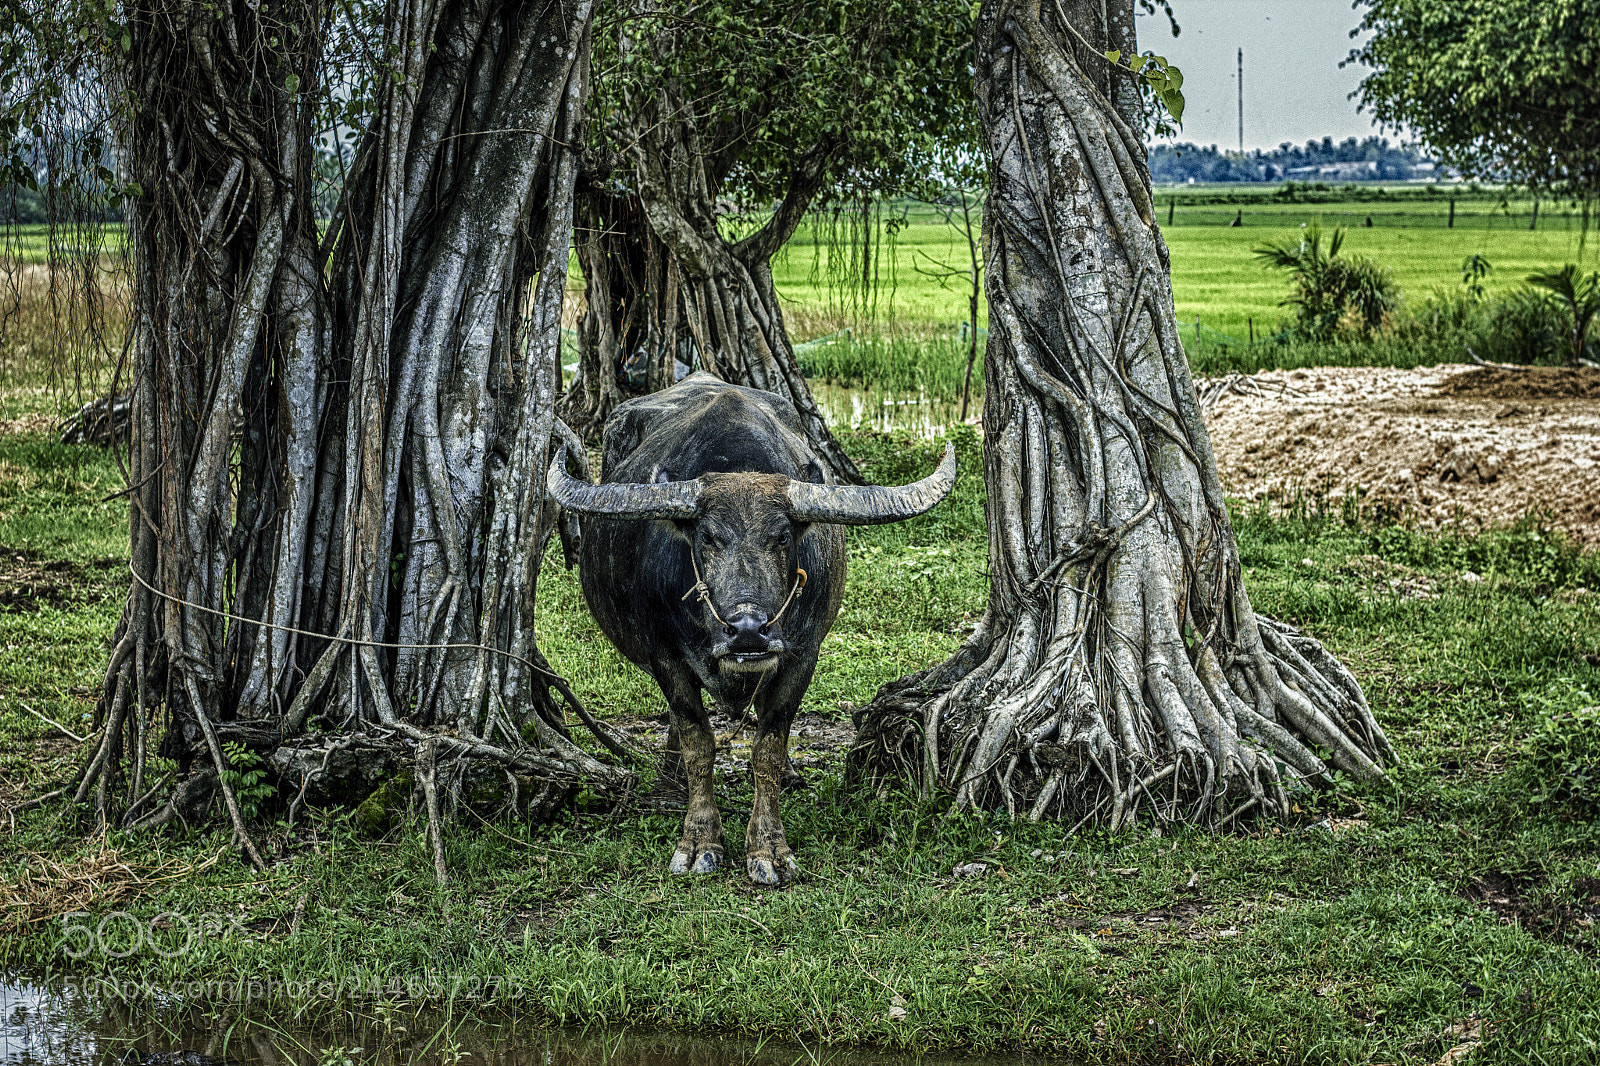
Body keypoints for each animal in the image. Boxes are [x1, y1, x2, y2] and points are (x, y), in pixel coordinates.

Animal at [549, 373, 955, 885]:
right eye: (707, 538)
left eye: (781, 536)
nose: (747, 631)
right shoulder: (664, 654)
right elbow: (698, 740)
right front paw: (699, 842)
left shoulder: (802, 654)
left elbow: (769, 747)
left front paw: (769, 849)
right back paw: (669, 787)